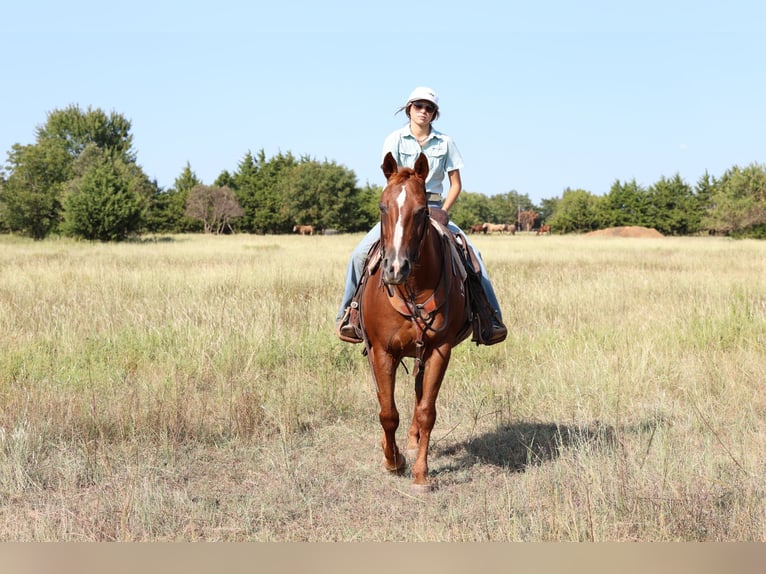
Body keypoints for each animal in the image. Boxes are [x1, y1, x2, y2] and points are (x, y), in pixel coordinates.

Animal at [359, 152, 472, 492]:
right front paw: (392, 460)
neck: (412, 288)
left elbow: (426, 412)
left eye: (422, 210)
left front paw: (420, 474)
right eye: (382, 206)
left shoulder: (439, 350)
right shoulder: (382, 351)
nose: (396, 268)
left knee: (419, 395)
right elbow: (387, 411)